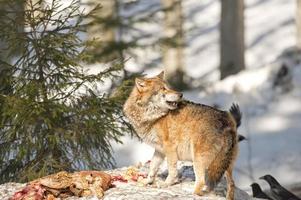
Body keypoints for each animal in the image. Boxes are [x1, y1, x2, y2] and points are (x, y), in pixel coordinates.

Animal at [123, 71, 240, 199]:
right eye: (163, 89)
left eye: (169, 87)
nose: (181, 94)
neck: (153, 117)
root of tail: (227, 124)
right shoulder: (159, 151)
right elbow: (152, 168)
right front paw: (148, 181)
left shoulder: (169, 148)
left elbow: (172, 171)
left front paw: (165, 184)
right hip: (225, 165)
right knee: (232, 183)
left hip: (198, 160)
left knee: (202, 182)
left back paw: (193, 194)